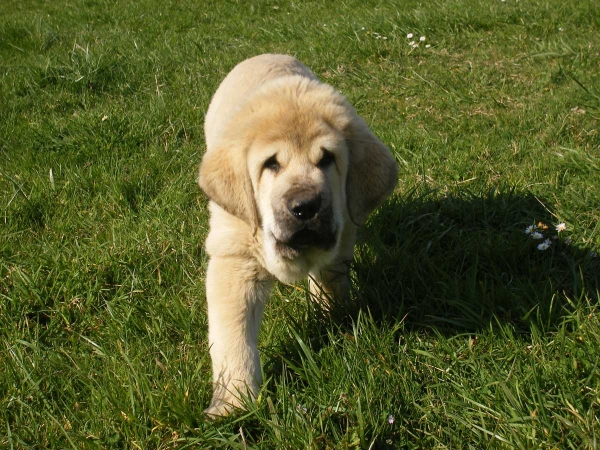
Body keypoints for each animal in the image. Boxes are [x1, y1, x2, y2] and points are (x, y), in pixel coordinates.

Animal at [198, 54, 398, 416]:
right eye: (271, 164)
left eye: (327, 159)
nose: (305, 207)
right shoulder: (235, 258)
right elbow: (233, 336)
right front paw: (234, 403)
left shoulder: (342, 234)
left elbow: (330, 279)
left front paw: (331, 316)